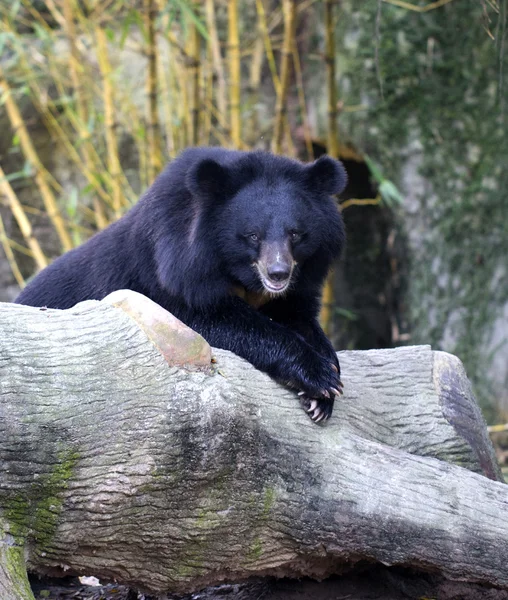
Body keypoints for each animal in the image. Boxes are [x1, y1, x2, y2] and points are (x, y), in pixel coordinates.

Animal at [16, 148, 350, 422]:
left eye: (295, 234)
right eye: (253, 235)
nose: (278, 273)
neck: (242, 277)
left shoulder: (299, 282)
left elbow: (301, 317)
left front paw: (323, 393)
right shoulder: (172, 271)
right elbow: (212, 319)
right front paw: (319, 378)